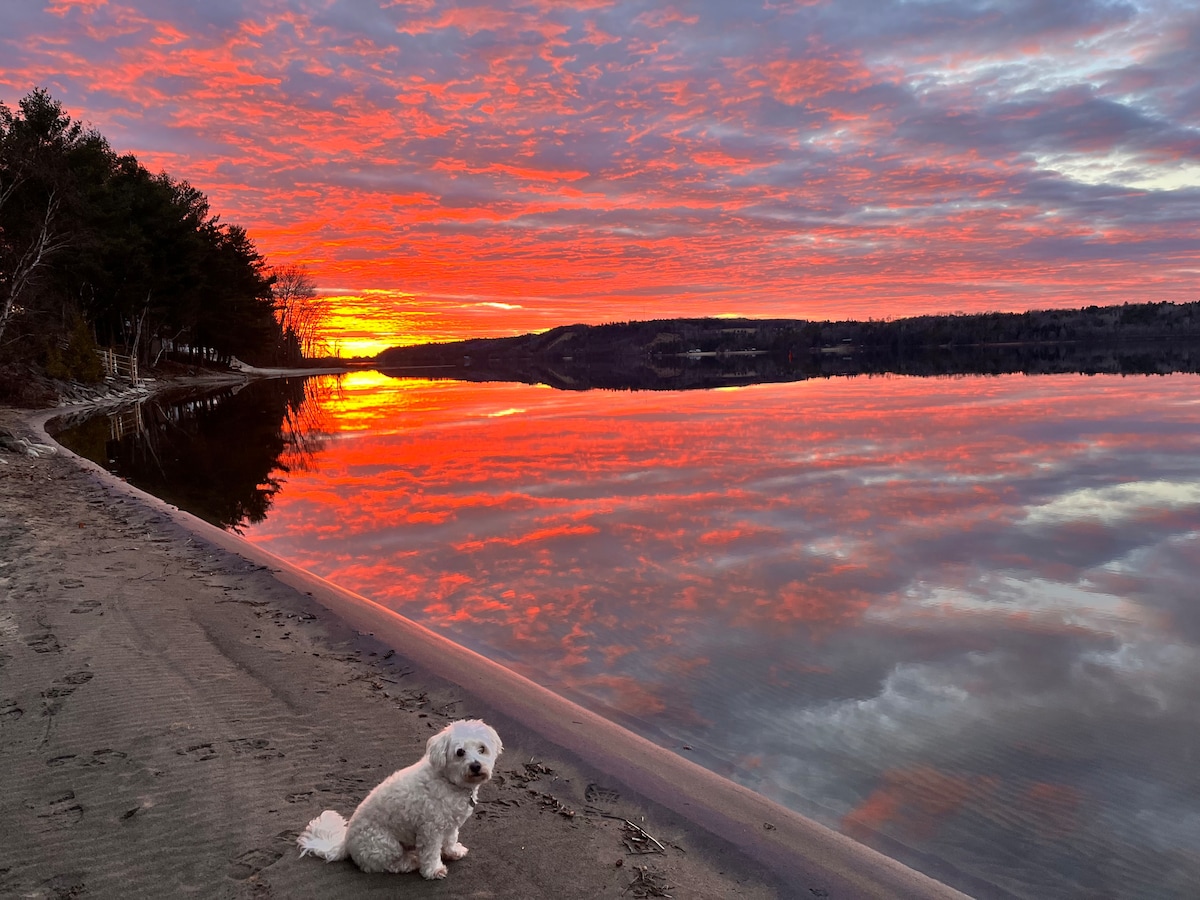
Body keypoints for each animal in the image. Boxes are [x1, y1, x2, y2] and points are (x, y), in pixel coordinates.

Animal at [300, 720, 506, 883]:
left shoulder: (450, 823)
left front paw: (453, 851)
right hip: (385, 844)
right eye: (460, 752)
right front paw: (434, 870)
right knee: (385, 865)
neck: (448, 780)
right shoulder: (430, 829)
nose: (476, 766)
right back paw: (410, 861)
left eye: (482, 749)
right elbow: (431, 852)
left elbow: (450, 839)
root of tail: (345, 844)